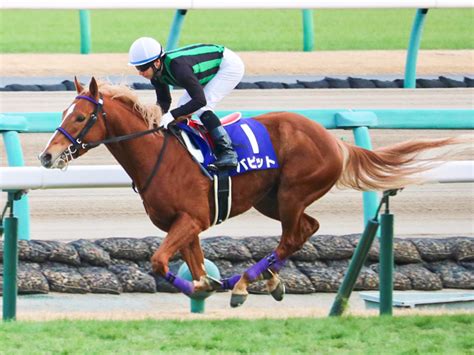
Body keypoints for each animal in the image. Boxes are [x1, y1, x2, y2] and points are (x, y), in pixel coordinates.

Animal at [40, 78, 462, 308]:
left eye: (80, 117)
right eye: (63, 113)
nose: (47, 155)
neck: (157, 155)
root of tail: (333, 140)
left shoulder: (190, 219)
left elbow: (160, 262)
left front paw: (212, 286)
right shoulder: (188, 225)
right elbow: (194, 268)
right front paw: (205, 286)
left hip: (292, 193)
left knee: (293, 235)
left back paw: (245, 283)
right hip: (271, 200)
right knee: (307, 228)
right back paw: (266, 279)